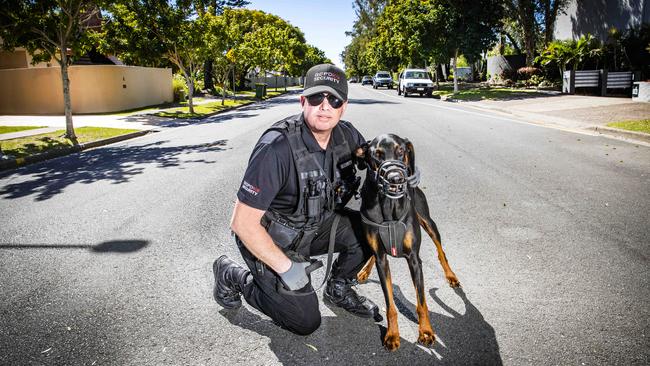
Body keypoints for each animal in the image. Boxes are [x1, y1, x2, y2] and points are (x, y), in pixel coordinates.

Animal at [352, 133, 458, 350]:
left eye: (401, 150)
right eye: (377, 155)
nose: (396, 178)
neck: (389, 206)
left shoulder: (414, 259)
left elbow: (422, 303)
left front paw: (426, 332)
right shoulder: (381, 257)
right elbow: (390, 304)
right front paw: (392, 334)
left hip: (428, 221)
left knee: (441, 251)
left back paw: (451, 276)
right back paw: (365, 270)